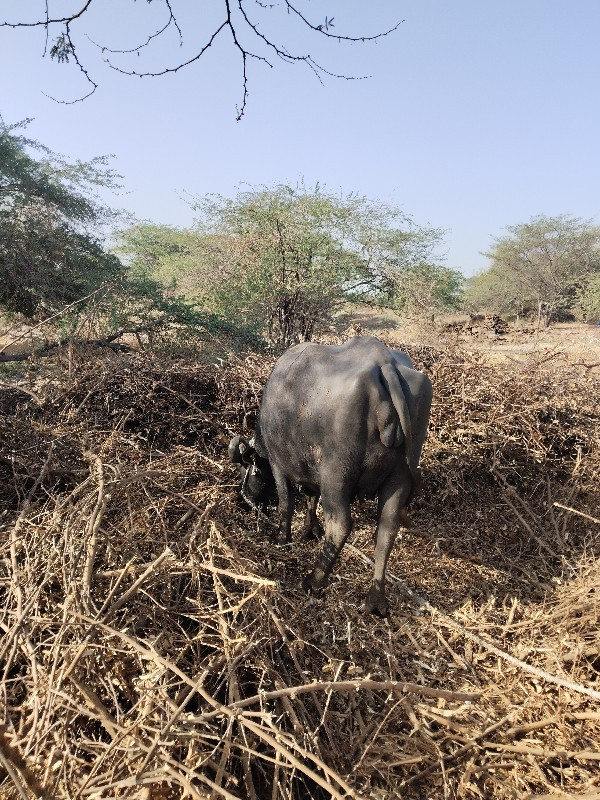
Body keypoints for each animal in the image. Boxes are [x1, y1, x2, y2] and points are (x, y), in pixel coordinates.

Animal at [229, 334, 432, 616]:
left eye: (251, 470)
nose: (245, 500)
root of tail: (385, 363)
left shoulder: (279, 465)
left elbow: (286, 503)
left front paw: (282, 538)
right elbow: (310, 498)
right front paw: (310, 529)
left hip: (337, 476)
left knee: (340, 525)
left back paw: (314, 580)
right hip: (399, 478)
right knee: (387, 531)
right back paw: (375, 600)